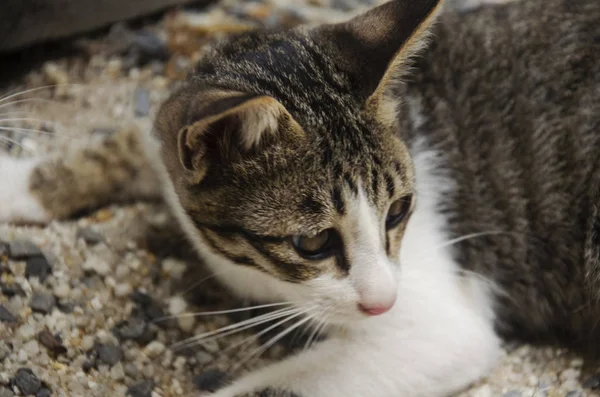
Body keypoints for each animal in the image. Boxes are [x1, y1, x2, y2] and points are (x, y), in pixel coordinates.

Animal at [1, 0, 600, 396]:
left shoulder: (439, 326)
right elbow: (125, 142)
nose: (383, 301)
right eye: (312, 244)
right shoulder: (167, 129)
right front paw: (18, 182)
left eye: (399, 211)